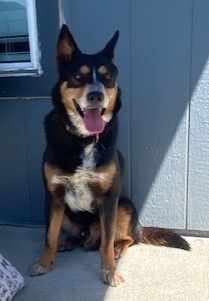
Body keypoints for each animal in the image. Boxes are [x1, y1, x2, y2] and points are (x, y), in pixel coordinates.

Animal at [29, 24, 189, 284]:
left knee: (125, 239)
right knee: (77, 237)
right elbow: (49, 237)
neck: (83, 139)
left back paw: (116, 249)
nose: (96, 95)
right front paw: (44, 263)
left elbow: (106, 243)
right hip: (67, 215)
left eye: (107, 78)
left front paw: (110, 271)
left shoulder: (109, 199)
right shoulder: (53, 196)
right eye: (78, 76)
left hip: (124, 206)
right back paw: (68, 242)